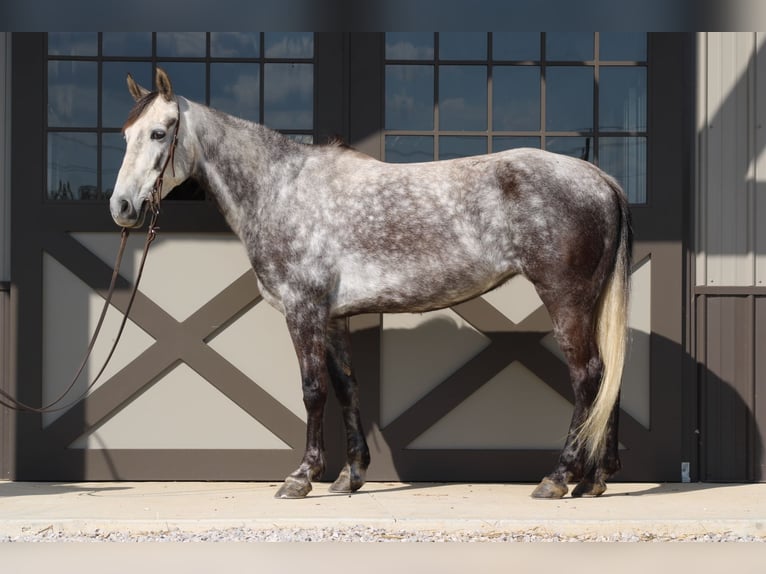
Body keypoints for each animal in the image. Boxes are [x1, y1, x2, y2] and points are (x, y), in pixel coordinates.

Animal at [110, 68, 632, 500]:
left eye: (159, 132)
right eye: (125, 134)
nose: (121, 207)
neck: (281, 188)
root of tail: (599, 178)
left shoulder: (303, 310)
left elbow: (312, 390)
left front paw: (301, 478)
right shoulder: (333, 317)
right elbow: (346, 388)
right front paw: (350, 475)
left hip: (566, 300)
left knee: (587, 376)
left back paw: (558, 478)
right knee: (608, 374)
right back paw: (594, 480)